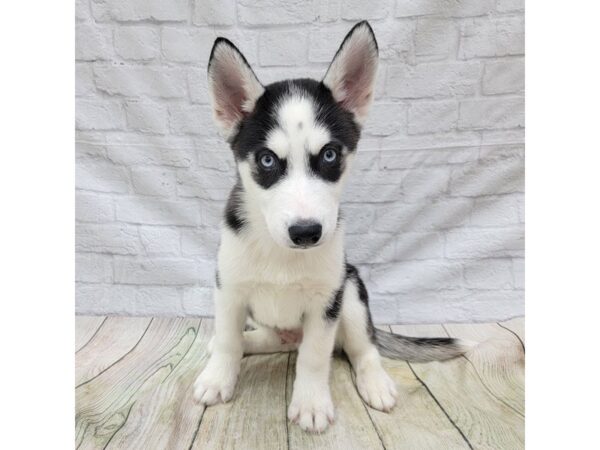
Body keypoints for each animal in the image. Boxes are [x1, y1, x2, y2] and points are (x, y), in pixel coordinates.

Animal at [195, 20, 472, 432]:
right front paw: (217, 378)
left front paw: (311, 403)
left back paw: (375, 382)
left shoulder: (326, 302)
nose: (306, 233)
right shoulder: (229, 289)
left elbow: (314, 356)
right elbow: (229, 339)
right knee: (273, 340)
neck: (280, 252)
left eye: (328, 155)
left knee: (364, 348)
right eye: (266, 160)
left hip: (352, 292)